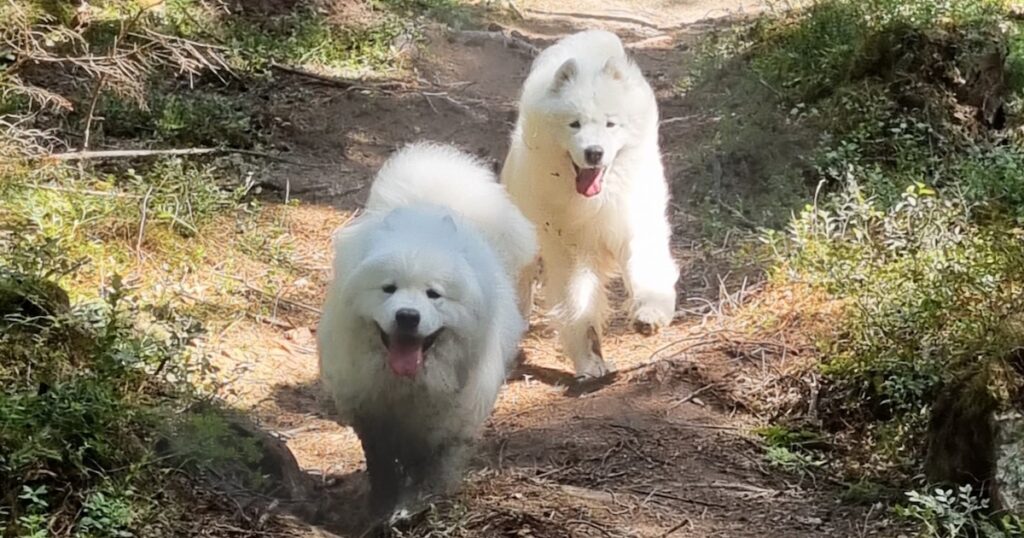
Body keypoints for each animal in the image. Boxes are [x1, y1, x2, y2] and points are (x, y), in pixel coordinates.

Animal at [317, 141, 536, 516]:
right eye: (388, 289)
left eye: (434, 294)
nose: (408, 316)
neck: (409, 385)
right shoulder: (373, 421)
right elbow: (382, 468)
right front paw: (383, 507)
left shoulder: (447, 428)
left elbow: (433, 470)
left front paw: (418, 506)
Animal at [501, 29, 679, 377]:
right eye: (574, 124)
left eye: (611, 124)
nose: (594, 153)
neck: (596, 201)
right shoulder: (570, 250)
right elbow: (578, 304)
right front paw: (590, 362)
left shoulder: (633, 227)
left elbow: (646, 270)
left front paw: (650, 314)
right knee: (521, 284)